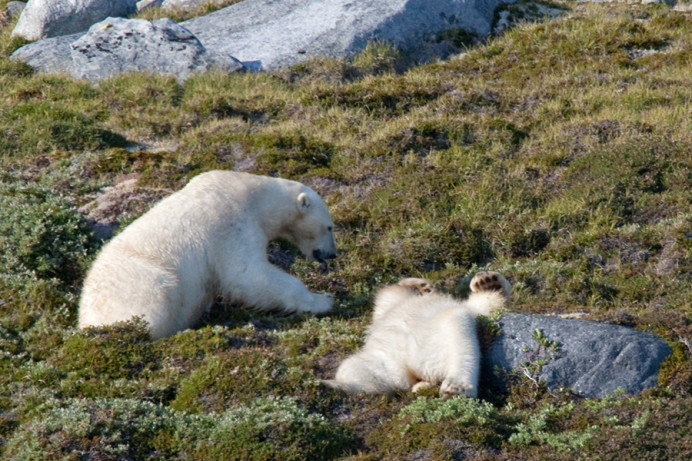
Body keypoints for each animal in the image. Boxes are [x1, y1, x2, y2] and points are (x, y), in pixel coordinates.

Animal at [78, 170, 337, 339]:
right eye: (330, 227)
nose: (332, 254)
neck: (254, 195)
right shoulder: (230, 223)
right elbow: (247, 275)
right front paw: (322, 299)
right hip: (142, 282)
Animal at [323, 272, 511, 397]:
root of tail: (412, 369)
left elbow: (484, 308)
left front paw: (488, 282)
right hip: (383, 362)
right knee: (358, 372)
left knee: (460, 328)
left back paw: (456, 387)